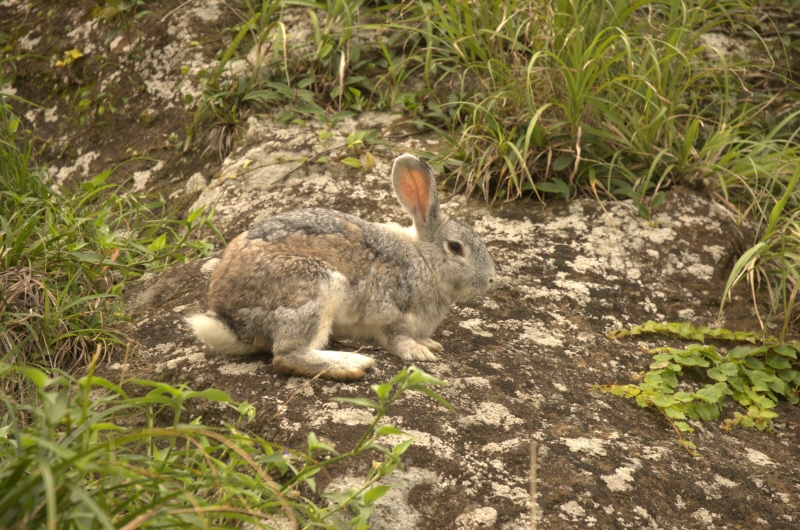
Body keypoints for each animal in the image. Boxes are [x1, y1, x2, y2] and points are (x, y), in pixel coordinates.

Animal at [189, 153, 500, 380]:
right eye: (456, 247)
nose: (491, 280)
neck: (424, 261)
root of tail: (228, 318)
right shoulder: (389, 313)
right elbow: (396, 338)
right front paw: (419, 352)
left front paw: (430, 344)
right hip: (312, 286)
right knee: (286, 356)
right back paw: (353, 364)